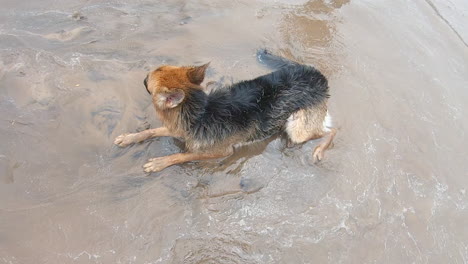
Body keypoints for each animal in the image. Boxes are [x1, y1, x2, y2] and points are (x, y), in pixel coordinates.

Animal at [114, 50, 334, 173]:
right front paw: (129, 137)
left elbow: (184, 155)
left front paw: (161, 162)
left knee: (332, 130)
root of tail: (316, 74)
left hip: (297, 129)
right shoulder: (179, 129)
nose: (144, 76)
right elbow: (151, 131)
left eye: (148, 79)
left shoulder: (221, 151)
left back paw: (319, 149)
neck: (199, 112)